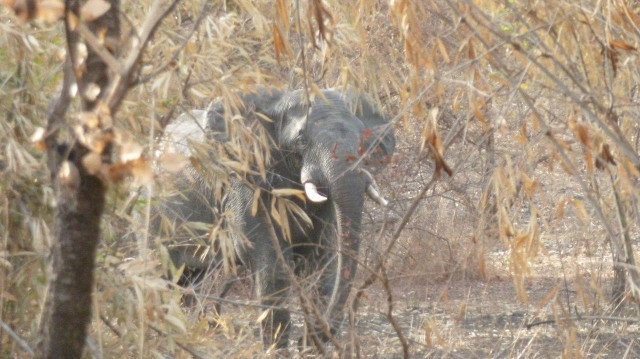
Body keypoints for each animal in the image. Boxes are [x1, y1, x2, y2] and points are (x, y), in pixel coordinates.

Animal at [155, 86, 396, 348]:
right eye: (301, 140)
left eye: (363, 142)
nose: (304, 341)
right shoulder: (245, 182)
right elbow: (267, 261)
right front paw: (277, 349)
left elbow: (322, 258)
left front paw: (309, 347)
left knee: (188, 279)